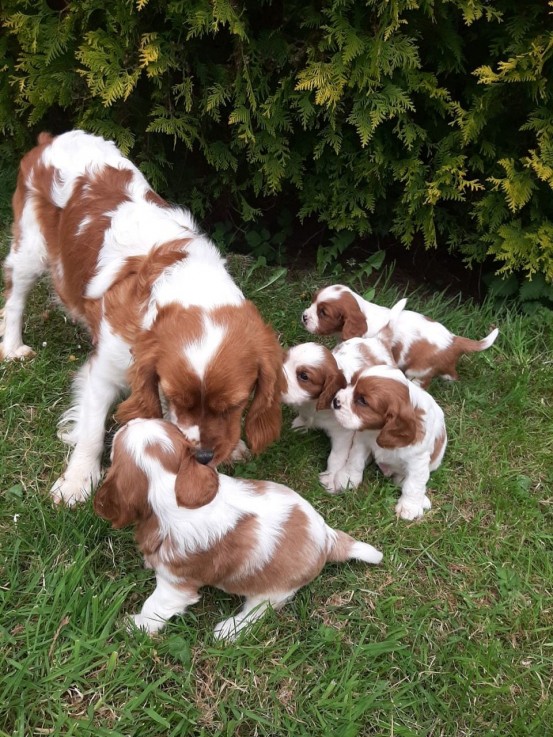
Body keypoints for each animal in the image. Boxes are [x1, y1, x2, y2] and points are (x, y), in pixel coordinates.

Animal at [0, 129, 282, 504]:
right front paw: (78, 481)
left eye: (235, 405)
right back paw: (13, 346)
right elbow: (91, 429)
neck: (190, 284)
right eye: (176, 399)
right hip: (31, 249)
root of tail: (51, 139)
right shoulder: (105, 370)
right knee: (16, 297)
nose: (204, 456)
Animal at [92, 420, 382, 640]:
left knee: (259, 612)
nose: (123, 422)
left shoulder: (176, 585)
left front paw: (136, 626)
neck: (171, 485)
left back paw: (229, 630)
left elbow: (155, 606)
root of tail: (327, 538)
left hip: (272, 589)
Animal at [282, 336, 394, 492]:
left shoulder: (342, 433)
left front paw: (330, 477)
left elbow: (336, 456)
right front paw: (300, 424)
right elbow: (304, 416)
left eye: (303, 376)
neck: (313, 403)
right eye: (284, 360)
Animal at [300, 284, 498, 388]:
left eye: (323, 313)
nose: (304, 316)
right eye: (312, 300)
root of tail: (454, 340)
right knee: (452, 373)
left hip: (419, 369)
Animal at [330, 364, 446, 516]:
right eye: (351, 382)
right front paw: (347, 480)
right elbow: (355, 461)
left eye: (363, 401)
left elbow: (414, 484)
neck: (378, 430)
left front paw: (410, 507)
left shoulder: (418, 461)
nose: (335, 400)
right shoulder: (362, 441)